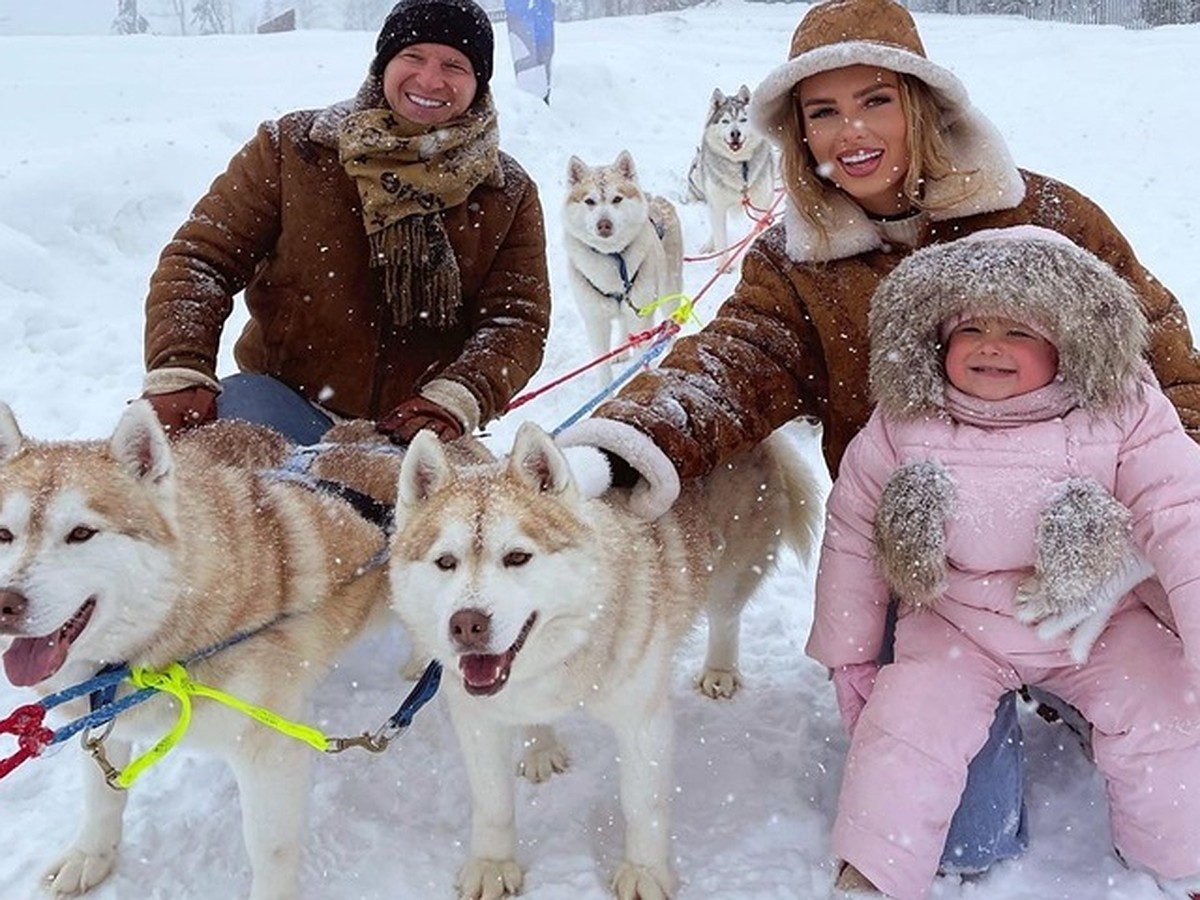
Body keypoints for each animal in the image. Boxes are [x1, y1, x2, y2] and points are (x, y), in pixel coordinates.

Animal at [0, 405, 396, 900]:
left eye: (81, 533)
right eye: (3, 534)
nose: (4, 603)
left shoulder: (269, 749)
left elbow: (270, 850)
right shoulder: (102, 722)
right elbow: (102, 799)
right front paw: (90, 855)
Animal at [388, 424, 820, 900]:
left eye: (517, 557)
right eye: (445, 562)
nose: (466, 624)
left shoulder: (642, 721)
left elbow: (641, 804)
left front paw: (645, 872)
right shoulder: (479, 720)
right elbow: (492, 802)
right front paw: (493, 864)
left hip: (731, 572)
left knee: (726, 617)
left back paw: (720, 671)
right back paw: (542, 746)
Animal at [561, 148, 686, 388]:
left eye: (617, 199)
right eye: (589, 201)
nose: (604, 224)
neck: (612, 258)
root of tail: (655, 198)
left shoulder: (641, 316)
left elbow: (641, 358)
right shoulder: (595, 320)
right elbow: (602, 370)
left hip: (668, 289)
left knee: (671, 321)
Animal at [691, 85, 772, 256]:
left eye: (743, 120)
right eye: (725, 121)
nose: (735, 133)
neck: (740, 166)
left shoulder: (761, 204)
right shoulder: (718, 206)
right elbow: (721, 242)